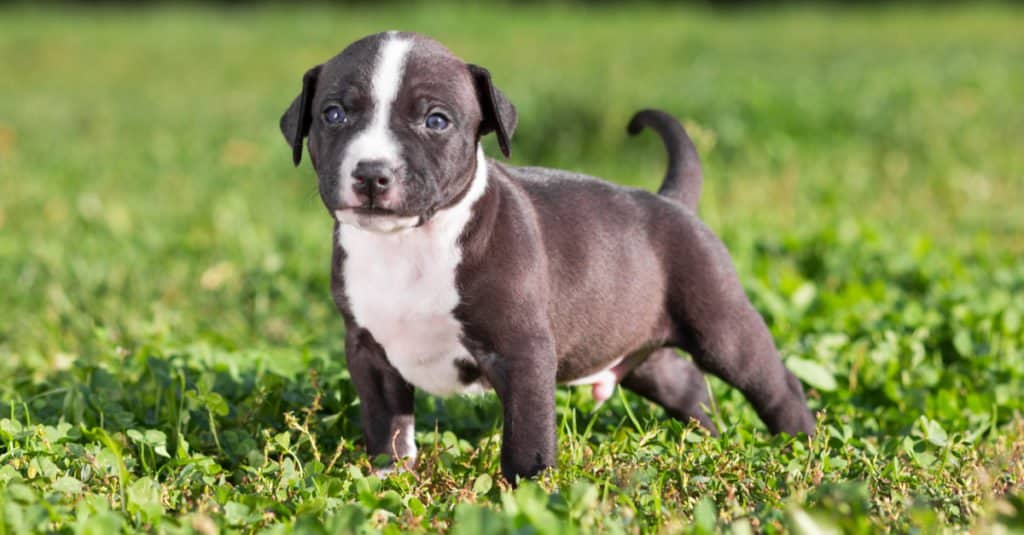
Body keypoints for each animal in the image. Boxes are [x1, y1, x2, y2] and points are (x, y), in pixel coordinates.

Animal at [280, 31, 815, 481]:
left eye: (436, 120)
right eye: (333, 114)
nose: (372, 173)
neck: (408, 244)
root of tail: (671, 201)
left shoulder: (523, 352)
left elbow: (527, 433)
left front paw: (530, 492)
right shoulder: (369, 353)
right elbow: (387, 426)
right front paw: (388, 483)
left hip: (721, 326)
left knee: (776, 384)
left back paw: (804, 447)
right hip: (635, 343)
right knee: (685, 383)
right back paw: (707, 442)